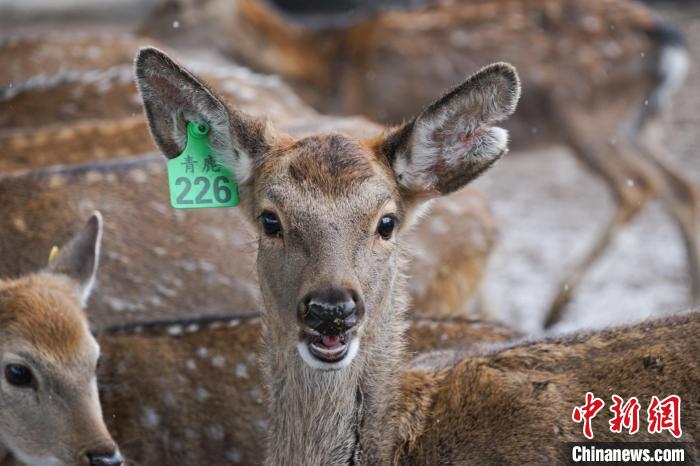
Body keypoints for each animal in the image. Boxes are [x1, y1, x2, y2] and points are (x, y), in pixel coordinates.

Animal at [142, 0, 700, 328]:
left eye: (187, 3)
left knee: (641, 186)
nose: (151, 24)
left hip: (590, 117)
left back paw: (555, 309)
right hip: (639, 121)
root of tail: (673, 45)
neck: (326, 65)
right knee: (679, 184)